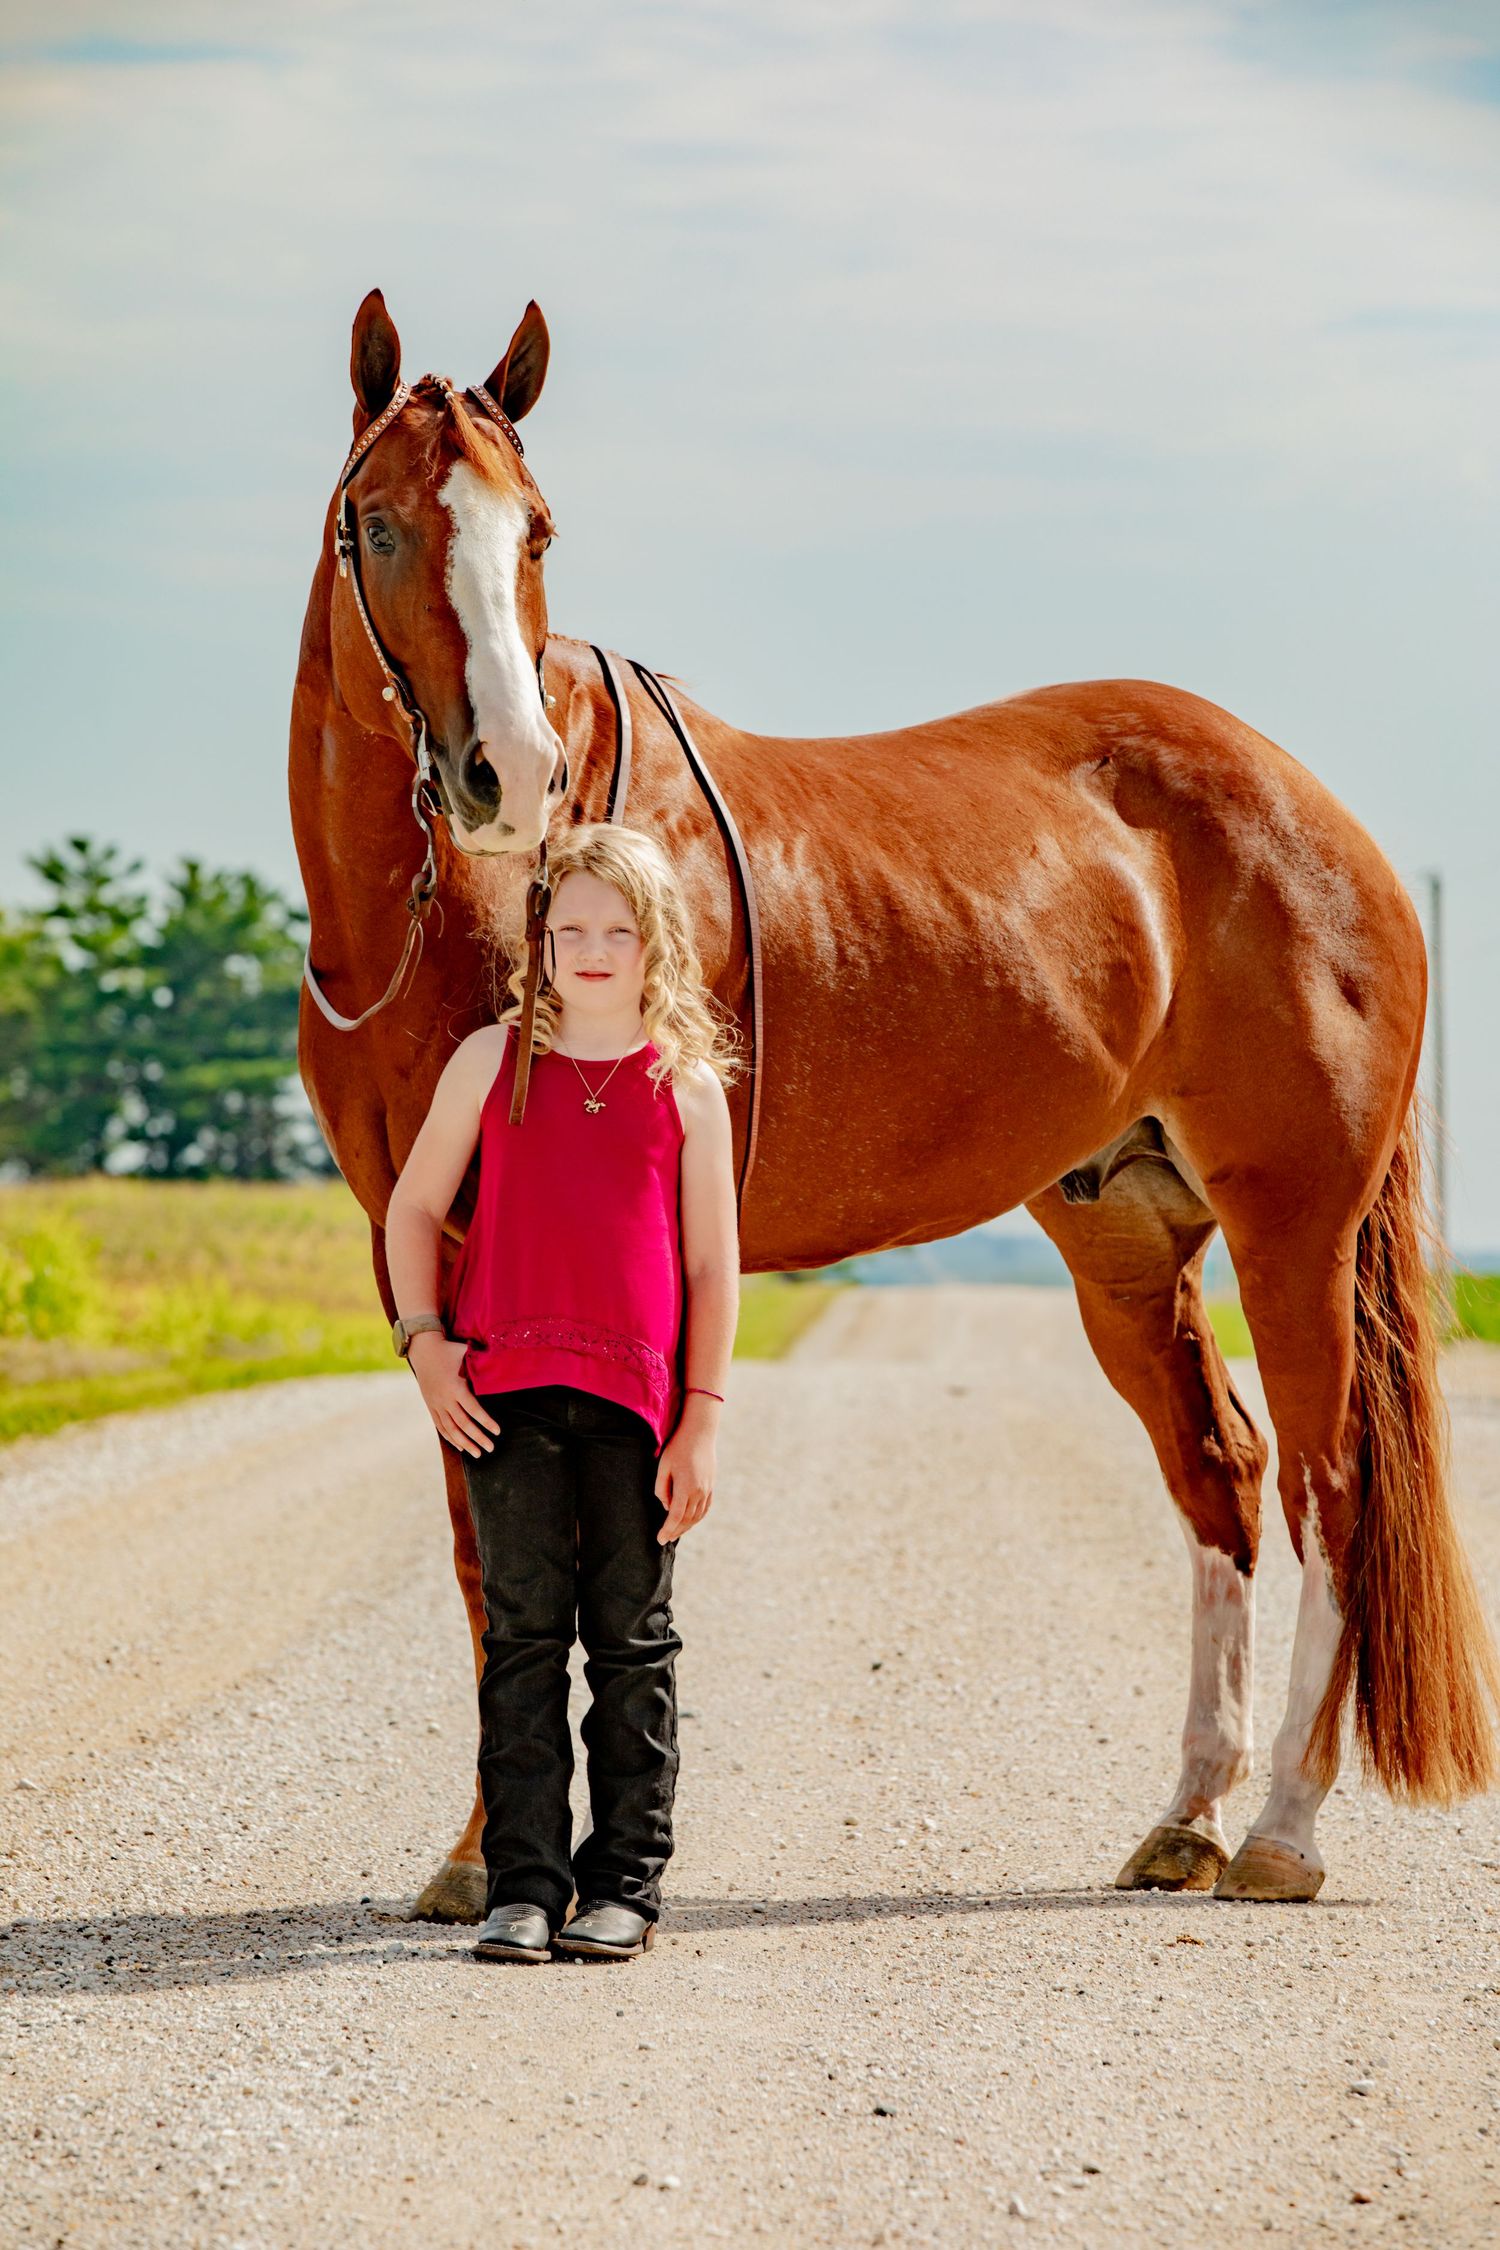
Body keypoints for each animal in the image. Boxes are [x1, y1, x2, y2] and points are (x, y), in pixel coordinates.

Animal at [290, 288, 1498, 1921]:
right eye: (378, 525)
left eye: (535, 529)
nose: (510, 776)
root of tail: (1319, 816)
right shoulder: (415, 1252)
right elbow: (492, 1555)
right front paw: (481, 1860)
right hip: (1129, 1245)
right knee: (1222, 1477)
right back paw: (1186, 1817)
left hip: (1291, 1227)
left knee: (1331, 1484)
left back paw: (1282, 1835)